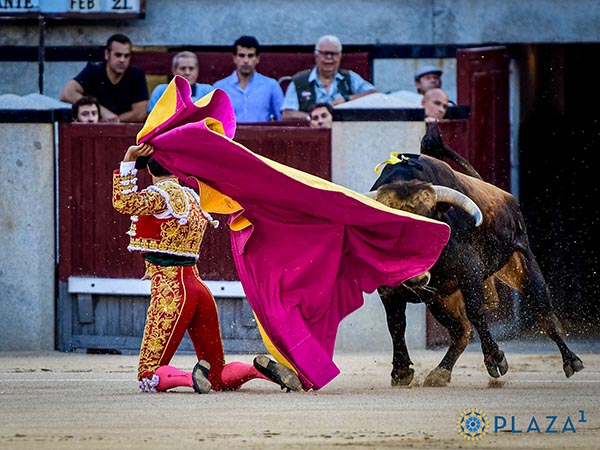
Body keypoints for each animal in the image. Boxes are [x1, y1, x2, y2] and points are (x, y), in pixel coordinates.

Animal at [368, 125, 584, 384]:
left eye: (431, 220)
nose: (416, 277)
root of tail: (508, 198)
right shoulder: (387, 288)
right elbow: (396, 324)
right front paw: (400, 372)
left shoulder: (469, 270)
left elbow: (476, 311)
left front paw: (495, 360)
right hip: (441, 298)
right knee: (461, 331)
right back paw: (440, 372)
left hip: (523, 263)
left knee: (546, 315)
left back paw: (572, 360)